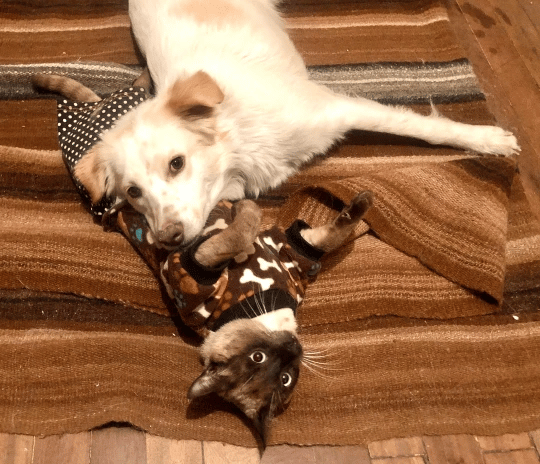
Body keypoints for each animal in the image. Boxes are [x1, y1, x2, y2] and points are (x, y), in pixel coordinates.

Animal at [75, 0, 520, 248]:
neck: (238, 139)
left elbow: (424, 127)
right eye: (133, 192)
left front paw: (488, 139)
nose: (168, 239)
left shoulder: (340, 108)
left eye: (176, 163)